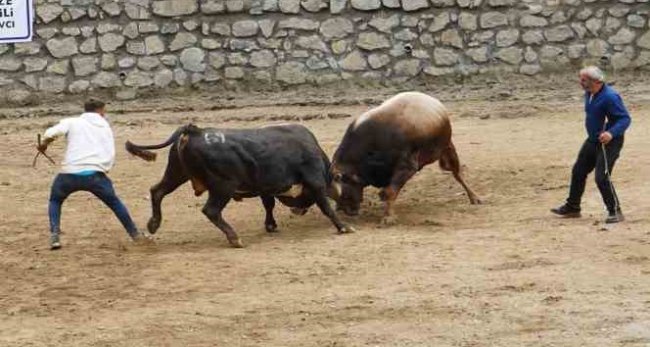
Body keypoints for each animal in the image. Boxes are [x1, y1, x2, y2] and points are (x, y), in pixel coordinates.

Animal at [332, 91, 478, 224]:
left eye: (344, 188)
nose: (343, 210)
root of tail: (435, 103)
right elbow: (386, 192)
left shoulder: (407, 167)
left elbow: (390, 192)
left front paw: (388, 217)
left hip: (447, 148)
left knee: (457, 174)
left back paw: (474, 198)